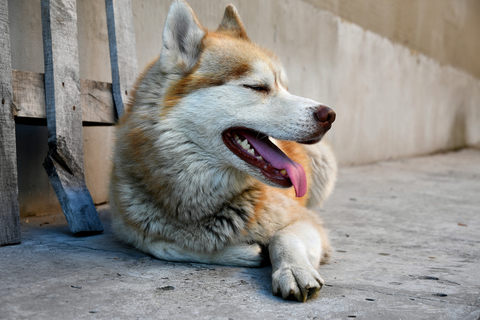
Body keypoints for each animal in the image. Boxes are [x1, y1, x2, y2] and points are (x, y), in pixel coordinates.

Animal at [110, 0, 338, 302]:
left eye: (285, 88)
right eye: (257, 87)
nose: (329, 115)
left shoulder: (306, 221)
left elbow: (284, 237)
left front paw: (292, 269)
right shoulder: (127, 227)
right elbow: (162, 246)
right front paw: (244, 253)